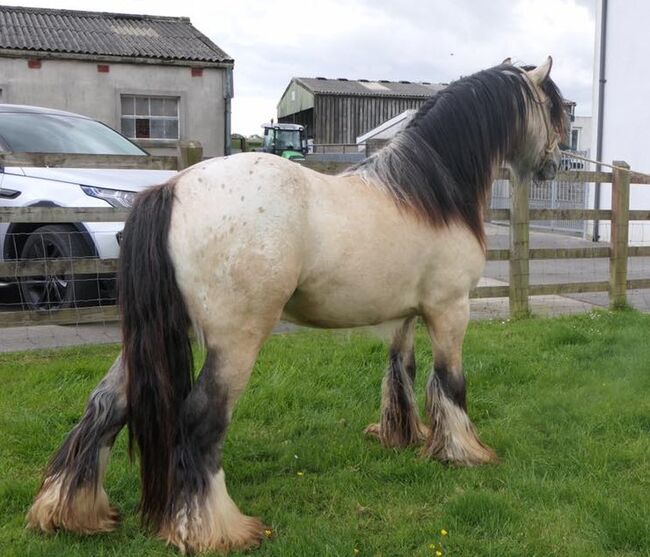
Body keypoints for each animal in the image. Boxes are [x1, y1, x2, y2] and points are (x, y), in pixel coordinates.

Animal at [26, 56, 560, 552]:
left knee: (104, 405)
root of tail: (171, 189)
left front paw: (403, 437)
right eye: (554, 109)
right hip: (235, 343)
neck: (428, 194)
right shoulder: (450, 310)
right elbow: (450, 382)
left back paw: (70, 513)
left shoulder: (402, 316)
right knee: (200, 420)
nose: (555, 164)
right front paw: (464, 452)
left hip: (151, 338)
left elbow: (401, 372)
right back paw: (217, 531)